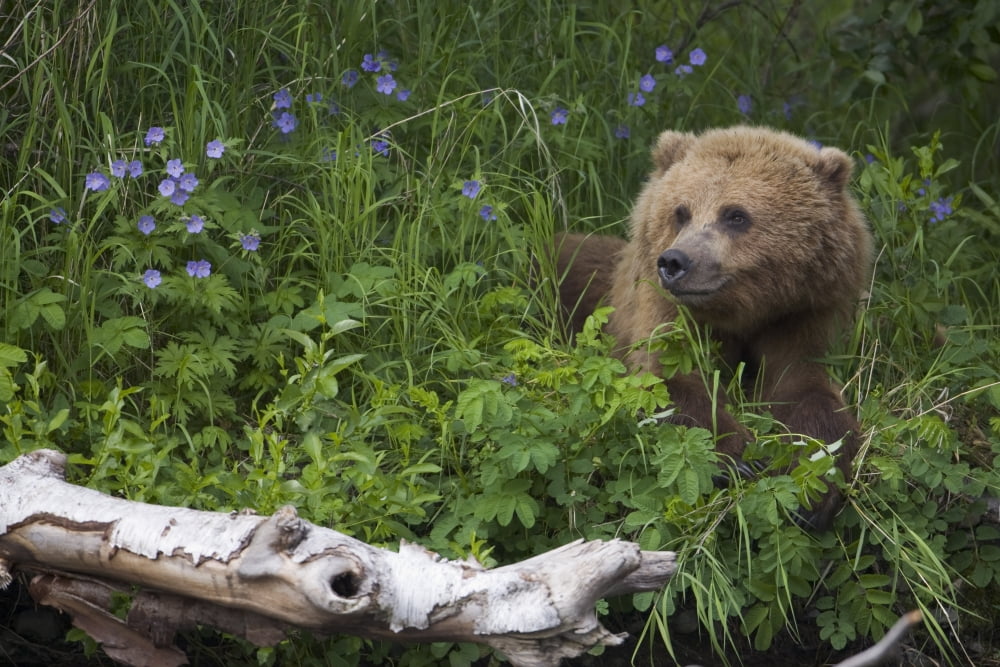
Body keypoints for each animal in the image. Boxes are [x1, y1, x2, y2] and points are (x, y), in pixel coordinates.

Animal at [555, 126, 872, 530]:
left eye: (735, 215)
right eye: (680, 212)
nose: (675, 261)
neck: (744, 311)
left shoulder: (801, 315)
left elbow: (807, 389)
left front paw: (812, 487)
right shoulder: (670, 313)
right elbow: (671, 382)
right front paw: (740, 460)